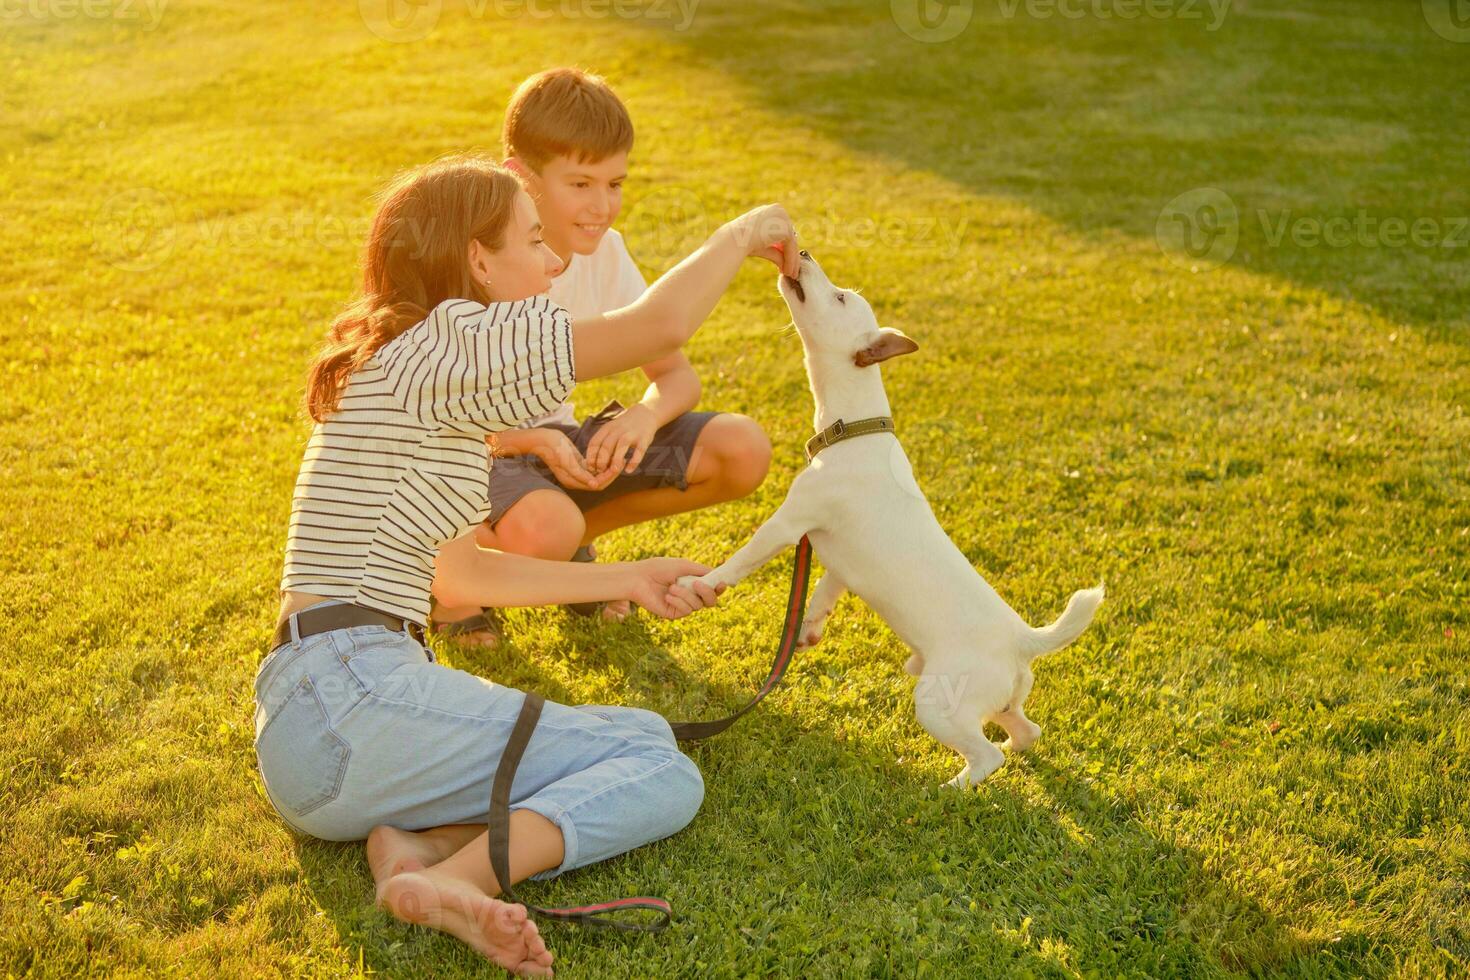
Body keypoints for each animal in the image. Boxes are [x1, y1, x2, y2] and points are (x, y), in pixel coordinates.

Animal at [676, 251, 1105, 787]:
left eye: (840, 297)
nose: (804, 253)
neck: (854, 428)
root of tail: (1021, 641)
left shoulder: (789, 524)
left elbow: (741, 560)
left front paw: (701, 585)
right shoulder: (833, 553)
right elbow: (824, 592)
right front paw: (808, 629)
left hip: (937, 704)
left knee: (987, 756)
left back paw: (951, 789)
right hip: (998, 702)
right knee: (1027, 731)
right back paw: (1007, 751)